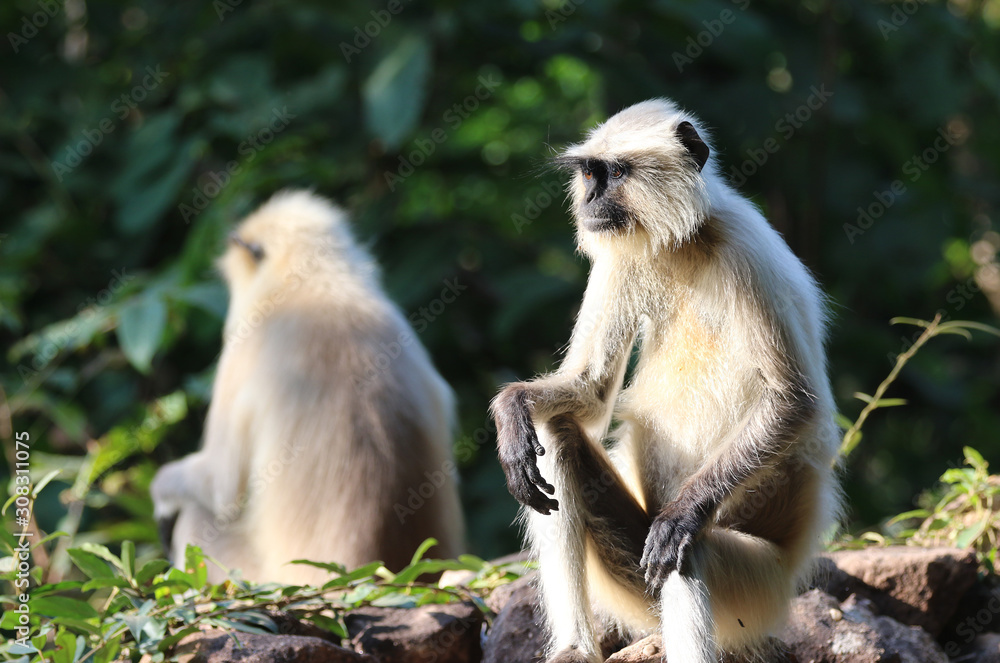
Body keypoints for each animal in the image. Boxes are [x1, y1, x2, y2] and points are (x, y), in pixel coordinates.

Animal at [488, 100, 840, 663]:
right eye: (590, 173)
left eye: (616, 174)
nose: (590, 199)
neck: (684, 242)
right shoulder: (620, 255)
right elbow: (590, 393)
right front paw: (511, 410)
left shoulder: (744, 248)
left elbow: (794, 402)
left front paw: (685, 514)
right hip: (637, 585)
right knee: (557, 436)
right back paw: (576, 648)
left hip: (754, 590)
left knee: (687, 550)